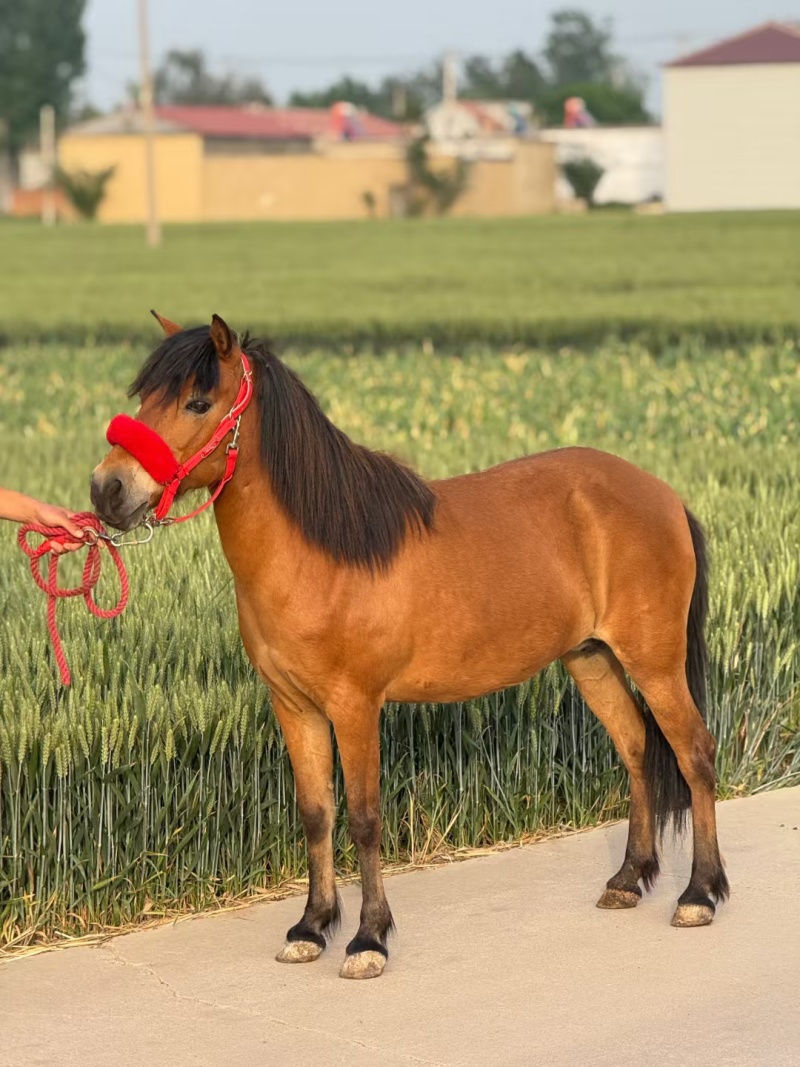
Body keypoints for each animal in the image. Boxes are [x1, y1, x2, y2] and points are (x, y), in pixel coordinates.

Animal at [91, 313, 729, 980]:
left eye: (197, 400)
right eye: (144, 395)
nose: (108, 489)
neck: (321, 551)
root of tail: (663, 495)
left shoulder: (355, 706)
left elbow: (365, 819)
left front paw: (367, 940)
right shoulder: (294, 707)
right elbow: (316, 813)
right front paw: (311, 927)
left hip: (655, 663)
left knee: (694, 753)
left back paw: (699, 895)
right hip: (592, 658)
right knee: (636, 748)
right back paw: (629, 879)